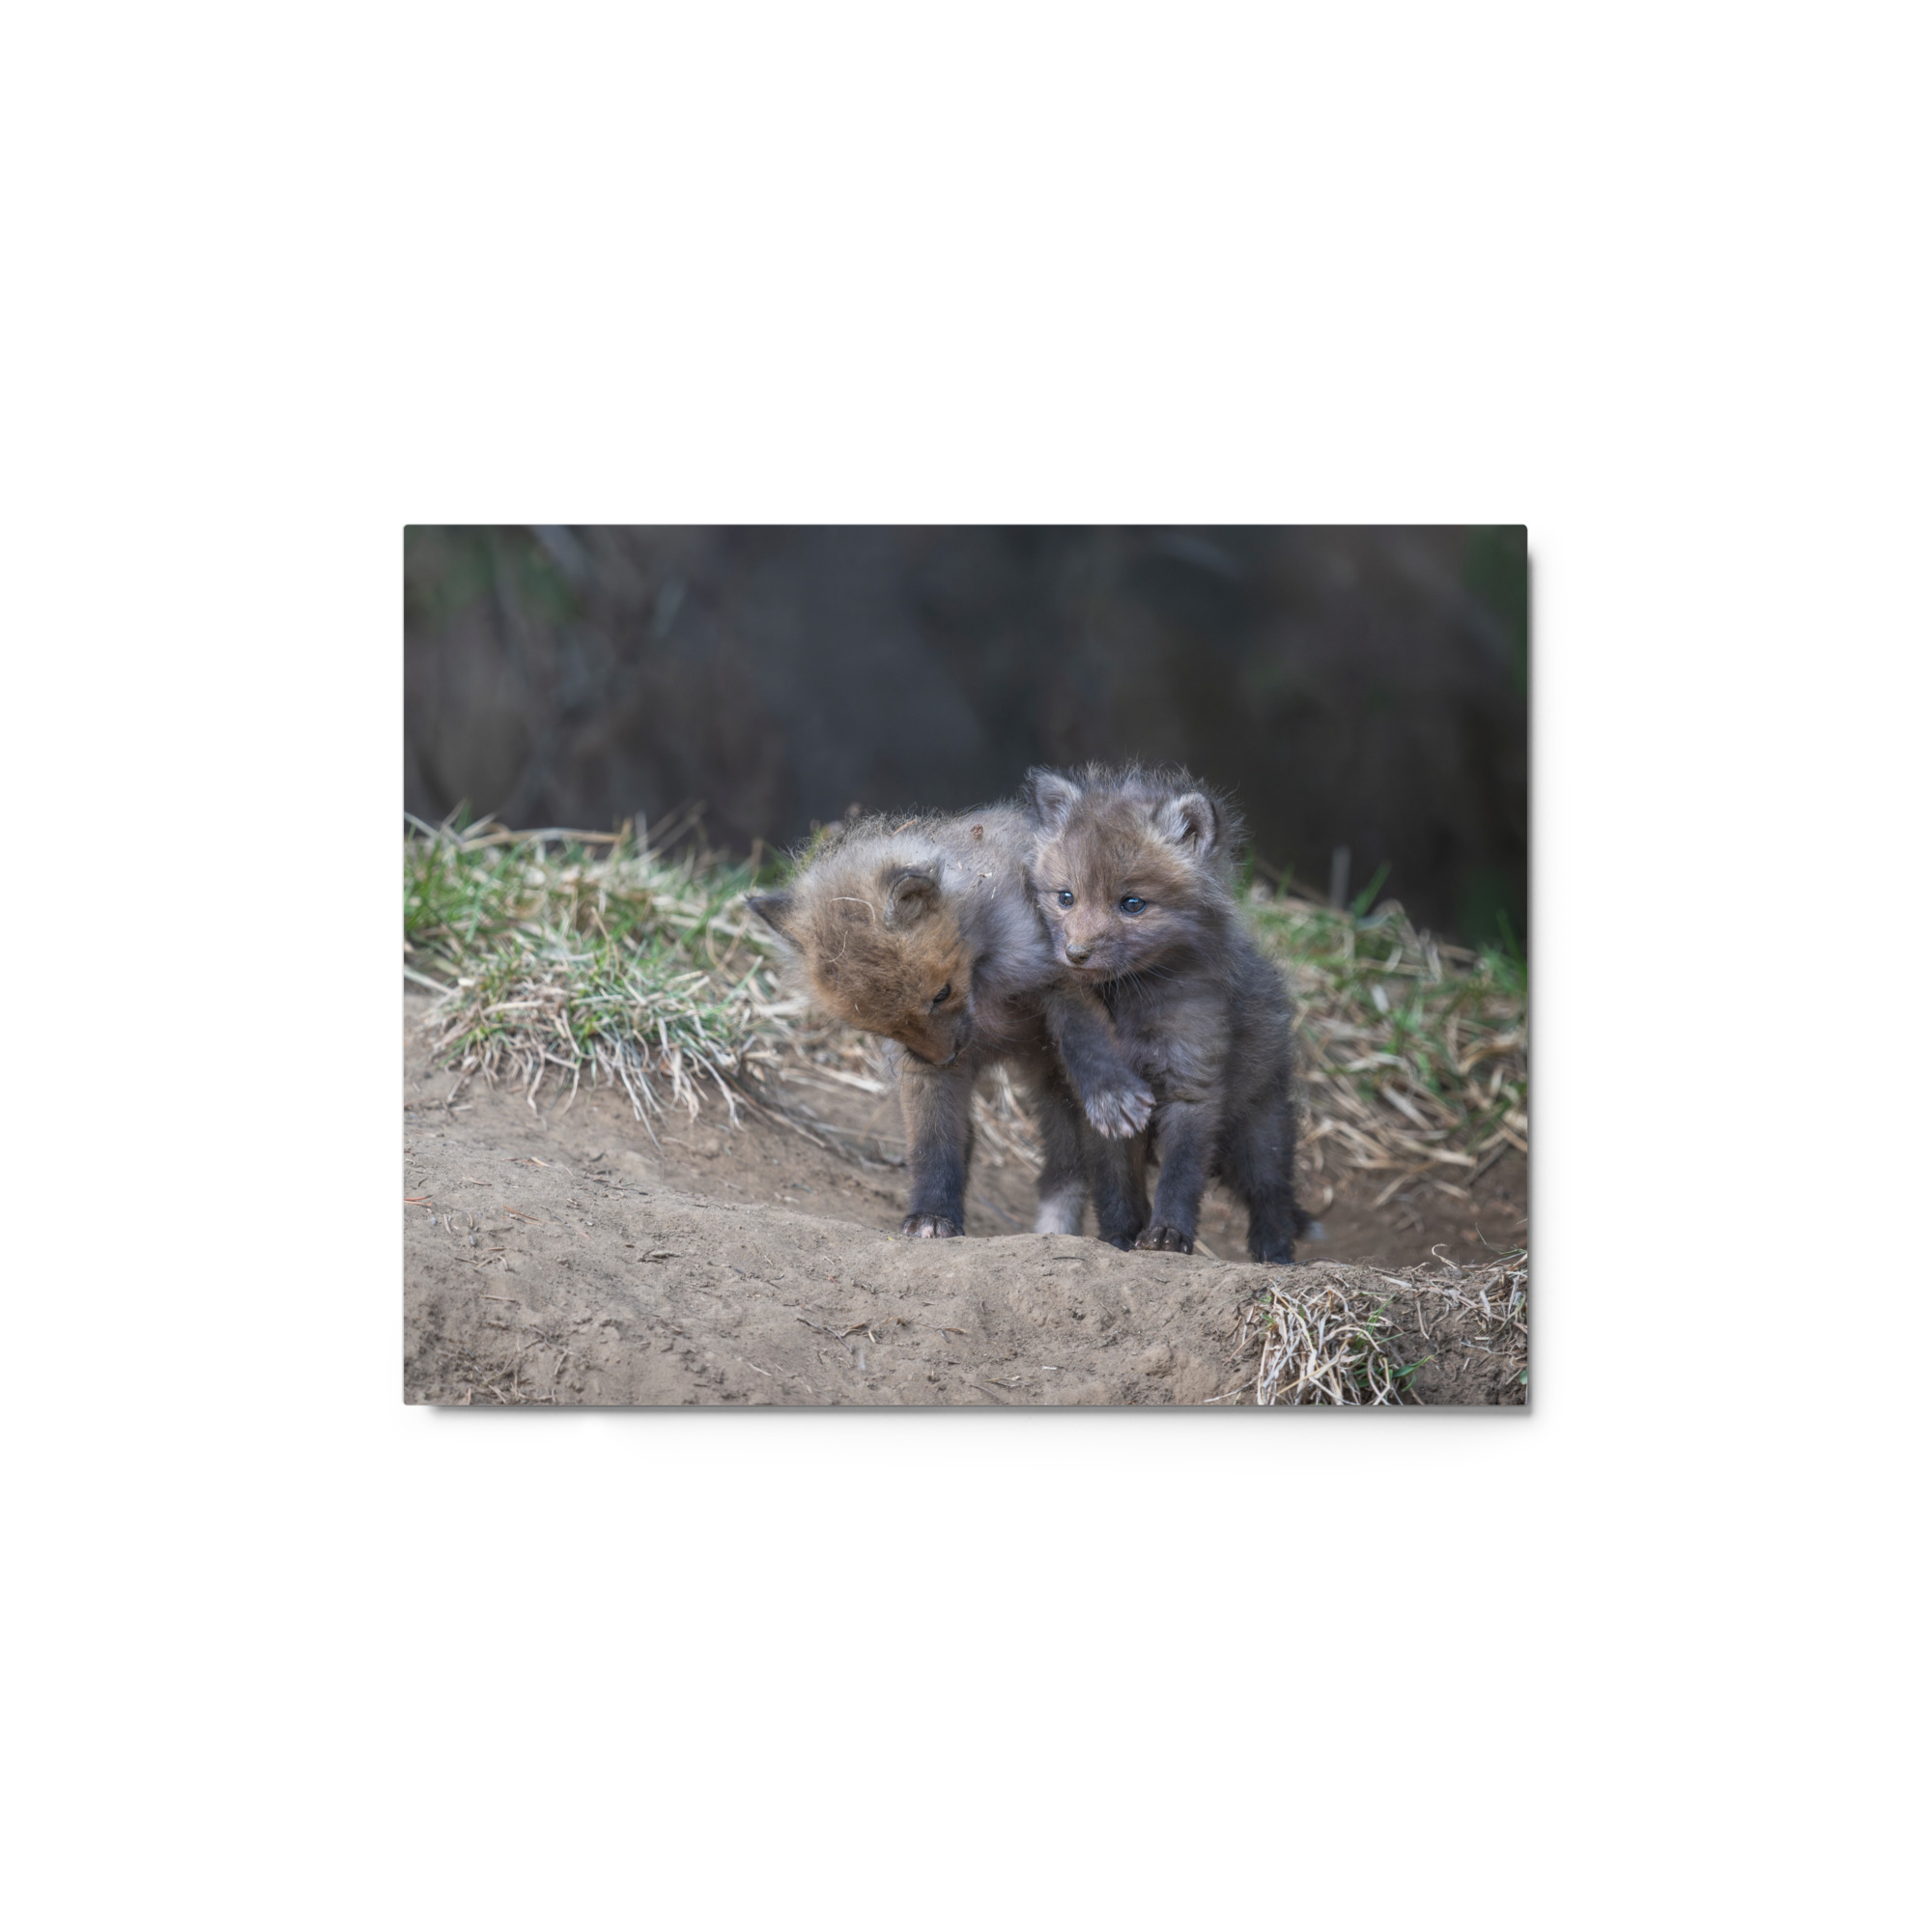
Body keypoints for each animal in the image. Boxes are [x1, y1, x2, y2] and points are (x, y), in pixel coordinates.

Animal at [746, 806, 1155, 1240]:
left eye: (941, 994)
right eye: (881, 1027)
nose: (945, 1058)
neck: (983, 987)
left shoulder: (1060, 974)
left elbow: (1085, 1038)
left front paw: (1110, 1093)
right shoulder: (919, 1068)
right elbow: (933, 1144)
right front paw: (933, 1214)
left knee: (1107, 1172)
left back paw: (1122, 1236)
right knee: (1062, 1168)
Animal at [1022, 763, 1311, 1265]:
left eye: (1132, 904)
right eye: (1065, 897)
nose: (1075, 954)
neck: (1130, 1006)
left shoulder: (1192, 1085)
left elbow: (1180, 1176)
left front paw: (1168, 1236)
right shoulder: (1104, 1105)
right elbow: (1115, 1184)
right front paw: (1119, 1238)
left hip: (1259, 1131)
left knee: (1272, 1195)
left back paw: (1275, 1257)